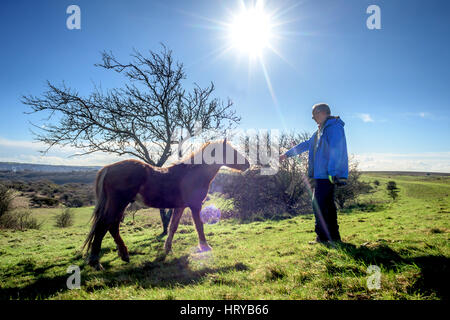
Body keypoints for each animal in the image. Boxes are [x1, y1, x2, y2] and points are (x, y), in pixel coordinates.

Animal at [81, 138, 250, 270]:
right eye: (232, 151)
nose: (248, 164)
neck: (191, 173)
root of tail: (107, 169)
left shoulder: (180, 207)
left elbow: (173, 227)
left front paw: (168, 249)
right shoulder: (195, 205)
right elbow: (199, 226)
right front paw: (205, 247)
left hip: (120, 205)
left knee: (112, 226)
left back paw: (123, 255)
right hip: (118, 203)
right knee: (104, 225)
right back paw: (96, 262)